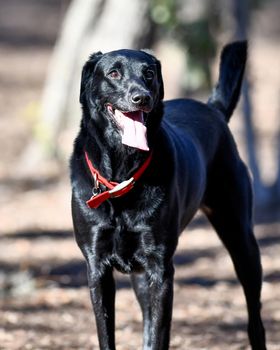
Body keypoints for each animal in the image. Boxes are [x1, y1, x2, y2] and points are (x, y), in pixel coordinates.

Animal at [70, 42, 266, 348]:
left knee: (254, 318)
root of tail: (213, 110)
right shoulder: (97, 267)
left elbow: (159, 334)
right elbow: (108, 334)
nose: (141, 97)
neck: (122, 175)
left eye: (149, 74)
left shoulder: (161, 268)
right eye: (113, 73)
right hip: (140, 274)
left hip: (241, 238)